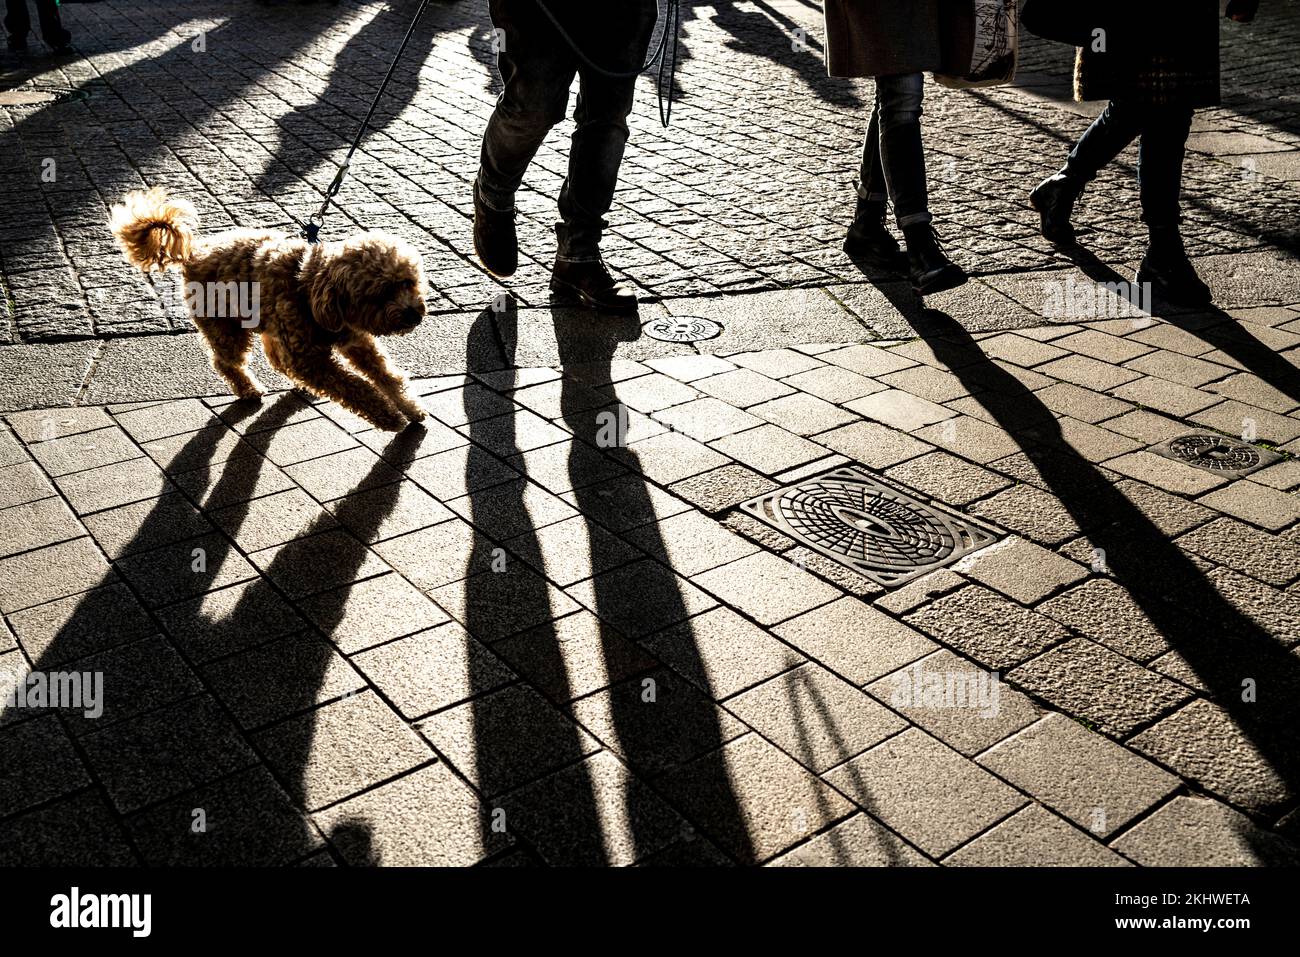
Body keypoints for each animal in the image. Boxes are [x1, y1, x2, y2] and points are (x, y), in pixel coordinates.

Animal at [111, 187, 426, 434]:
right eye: (380, 293)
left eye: (407, 282)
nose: (414, 313)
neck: (308, 288)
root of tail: (195, 252)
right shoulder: (310, 360)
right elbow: (354, 387)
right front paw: (388, 417)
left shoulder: (355, 340)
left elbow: (387, 375)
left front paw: (410, 408)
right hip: (225, 327)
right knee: (226, 362)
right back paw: (248, 389)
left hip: (268, 325)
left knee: (275, 360)